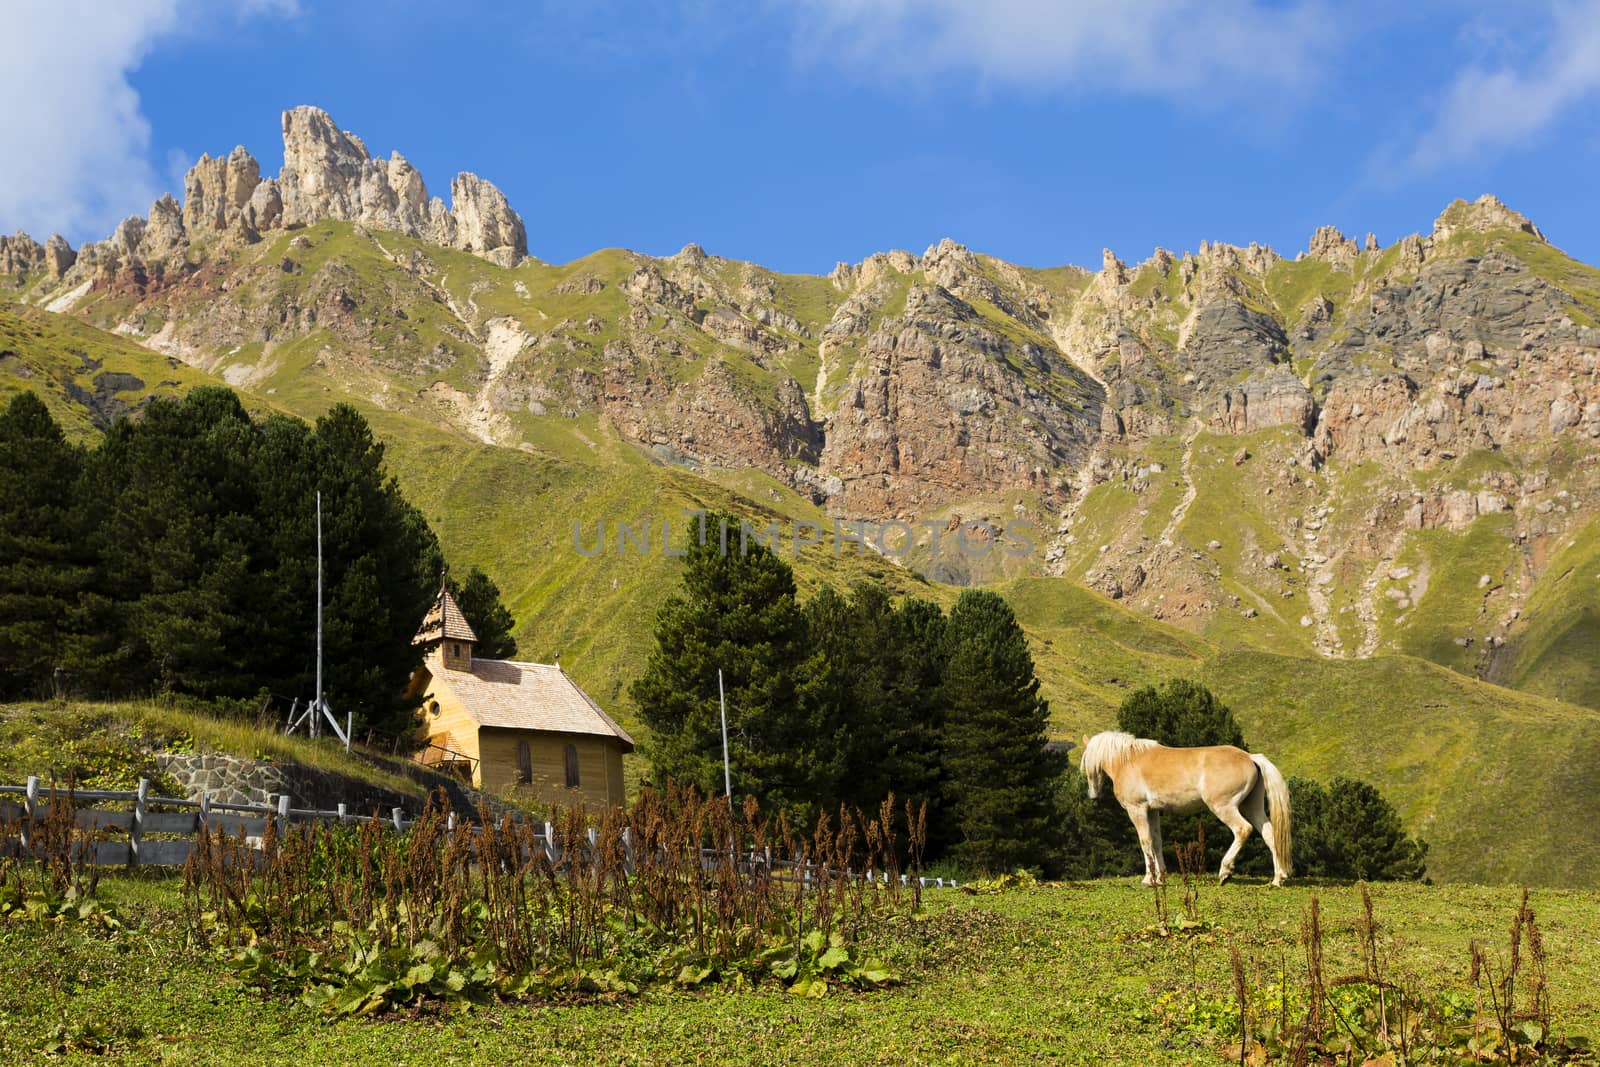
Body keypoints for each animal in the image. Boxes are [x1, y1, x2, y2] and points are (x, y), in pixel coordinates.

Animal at [1081, 729, 1292, 889]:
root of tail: (1250, 757)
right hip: (1252, 807)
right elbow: (1156, 841)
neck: (1128, 760)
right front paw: (1160, 877)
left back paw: (1225, 872)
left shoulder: (1137, 810)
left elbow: (1145, 841)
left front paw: (1149, 879)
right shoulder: (1153, 811)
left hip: (1224, 807)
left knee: (1243, 829)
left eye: (1089, 764)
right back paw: (1277, 879)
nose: (1093, 795)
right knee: (1270, 835)